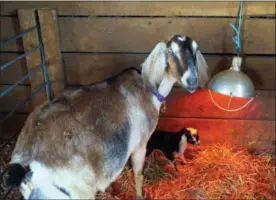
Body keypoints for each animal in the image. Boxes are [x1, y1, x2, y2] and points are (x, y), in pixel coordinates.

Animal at [3, 34, 209, 198]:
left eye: (196, 49)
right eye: (170, 51)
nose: (192, 81)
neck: (147, 89)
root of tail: (25, 161)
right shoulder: (141, 143)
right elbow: (138, 173)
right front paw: (140, 195)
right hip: (77, 191)